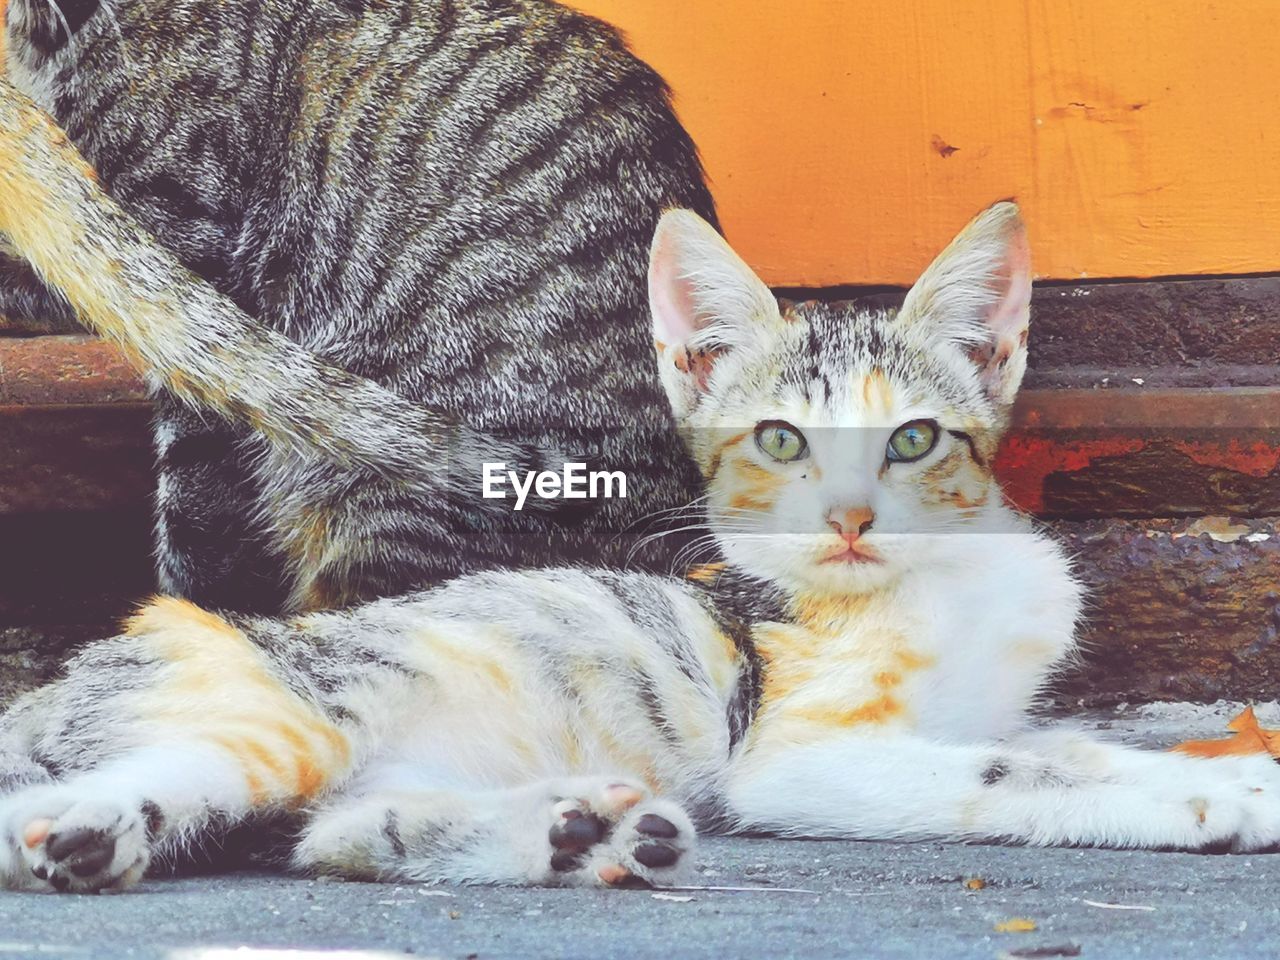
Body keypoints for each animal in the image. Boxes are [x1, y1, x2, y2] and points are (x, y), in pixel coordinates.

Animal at [0, 101, 1274, 890]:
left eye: (912, 439)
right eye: (779, 440)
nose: (848, 520)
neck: (945, 579)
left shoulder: (989, 702)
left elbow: (1064, 745)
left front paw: (1214, 770)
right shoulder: (798, 754)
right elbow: (1011, 772)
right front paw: (1208, 799)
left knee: (336, 832)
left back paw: (578, 832)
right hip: (286, 713)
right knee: (111, 799)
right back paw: (94, 834)